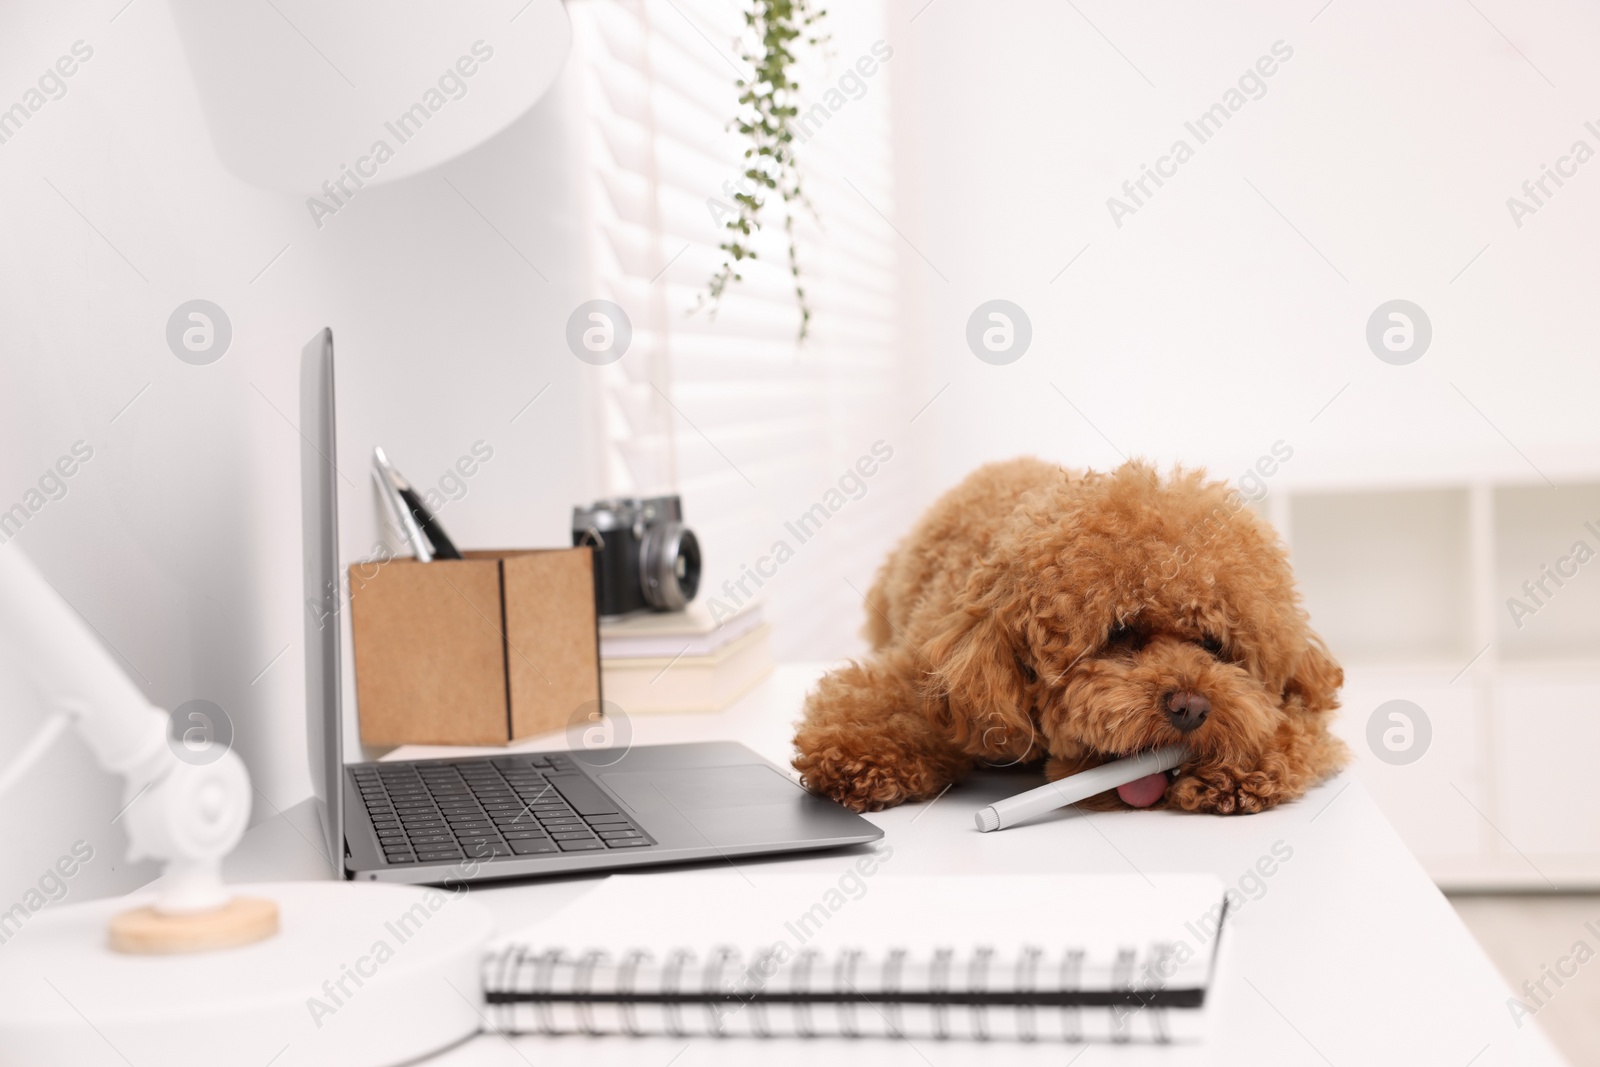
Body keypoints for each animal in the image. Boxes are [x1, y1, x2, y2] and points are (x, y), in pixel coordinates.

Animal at [793, 460, 1344, 819]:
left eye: (1215, 645)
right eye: (1121, 632)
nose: (1190, 707)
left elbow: (1293, 730)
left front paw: (1239, 768)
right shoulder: (928, 669)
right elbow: (879, 708)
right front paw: (860, 758)